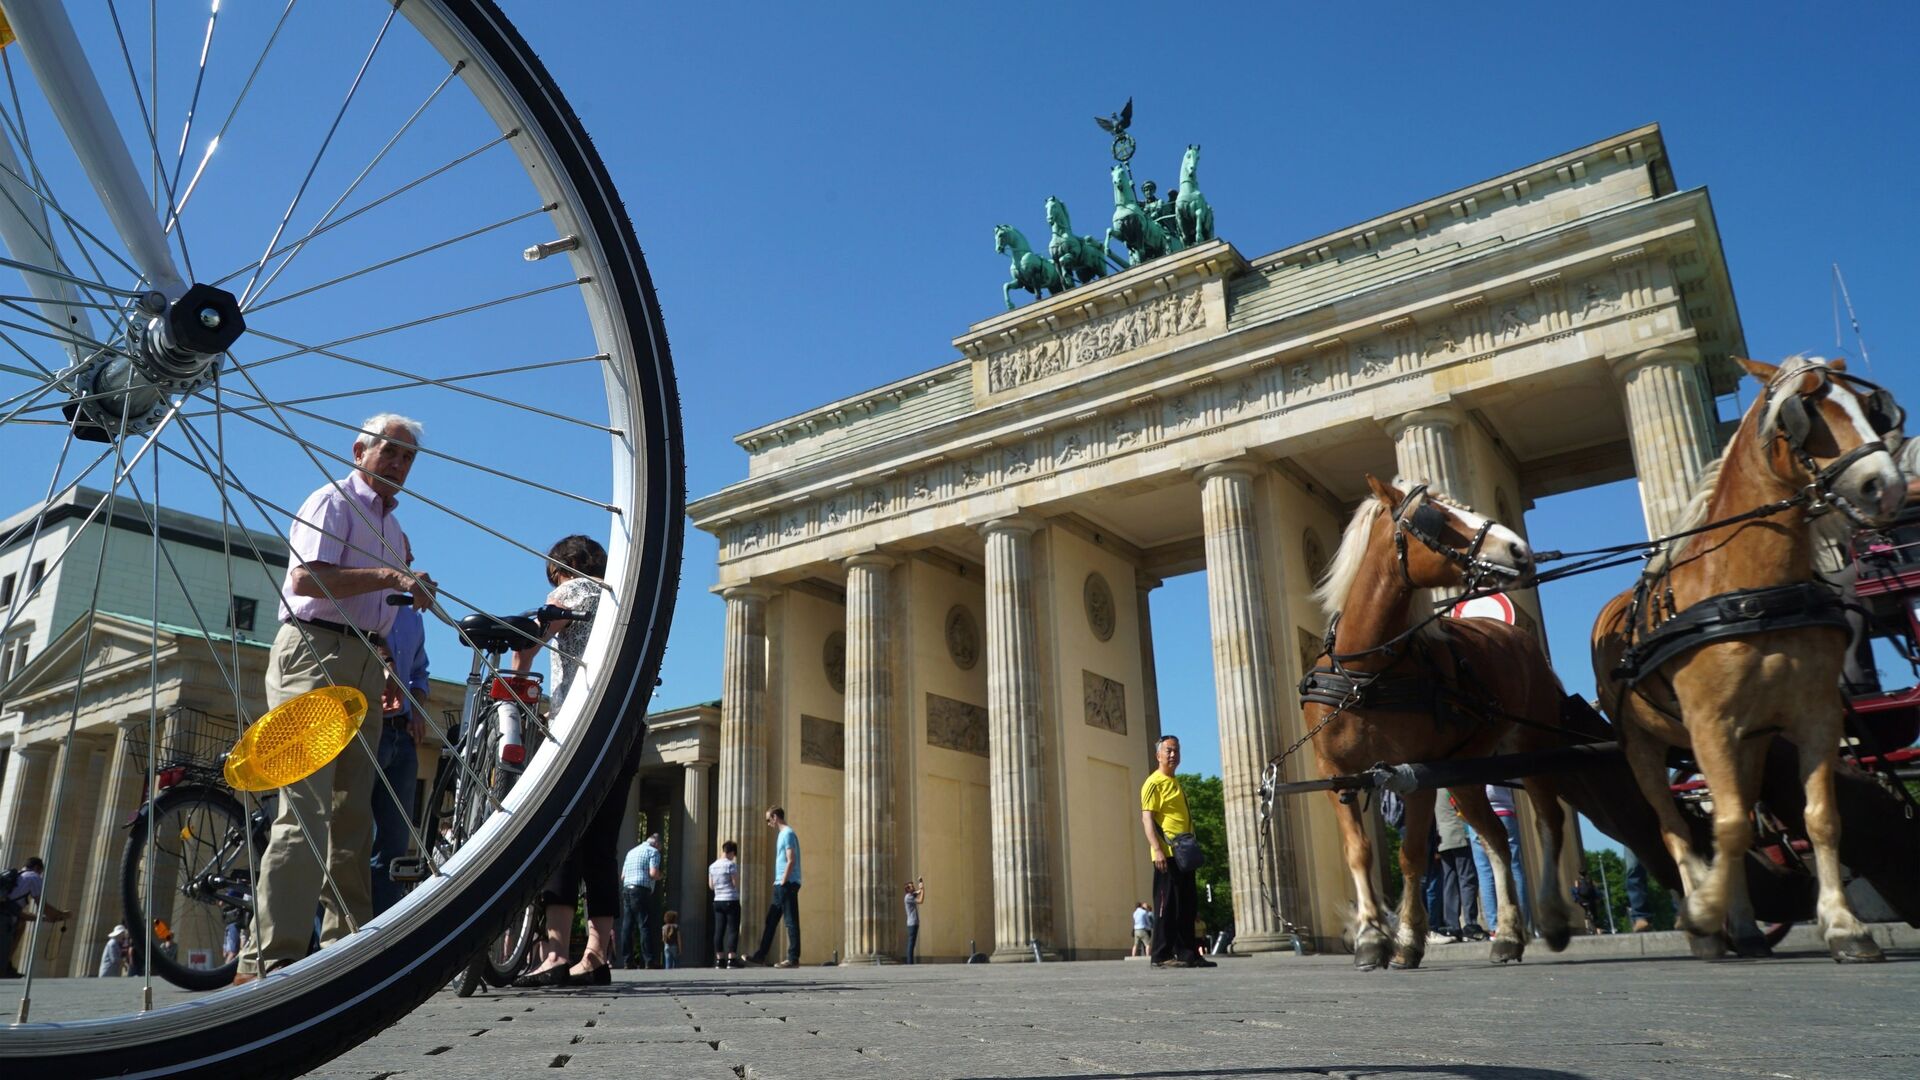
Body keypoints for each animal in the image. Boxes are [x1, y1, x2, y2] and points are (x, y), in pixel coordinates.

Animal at [1313, 474, 1582, 960]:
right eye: (1435, 517)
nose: (1518, 549)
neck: (1363, 672)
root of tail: (1514, 632)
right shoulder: (1337, 775)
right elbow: (1358, 850)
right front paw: (1370, 937)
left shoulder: (1413, 772)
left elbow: (1411, 854)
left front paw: (1406, 940)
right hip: (1465, 774)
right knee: (1494, 837)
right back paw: (1508, 934)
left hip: (1530, 747)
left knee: (1548, 820)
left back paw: (1550, 919)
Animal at [1589, 355, 1904, 957]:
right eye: (1803, 414)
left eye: (1871, 408)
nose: (1886, 486)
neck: (1752, 593)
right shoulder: (1709, 722)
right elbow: (1727, 823)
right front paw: (1702, 911)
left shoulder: (1815, 716)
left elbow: (1818, 818)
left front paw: (1843, 925)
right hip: (1642, 745)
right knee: (1676, 827)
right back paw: (1706, 922)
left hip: (1750, 739)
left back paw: (1741, 924)